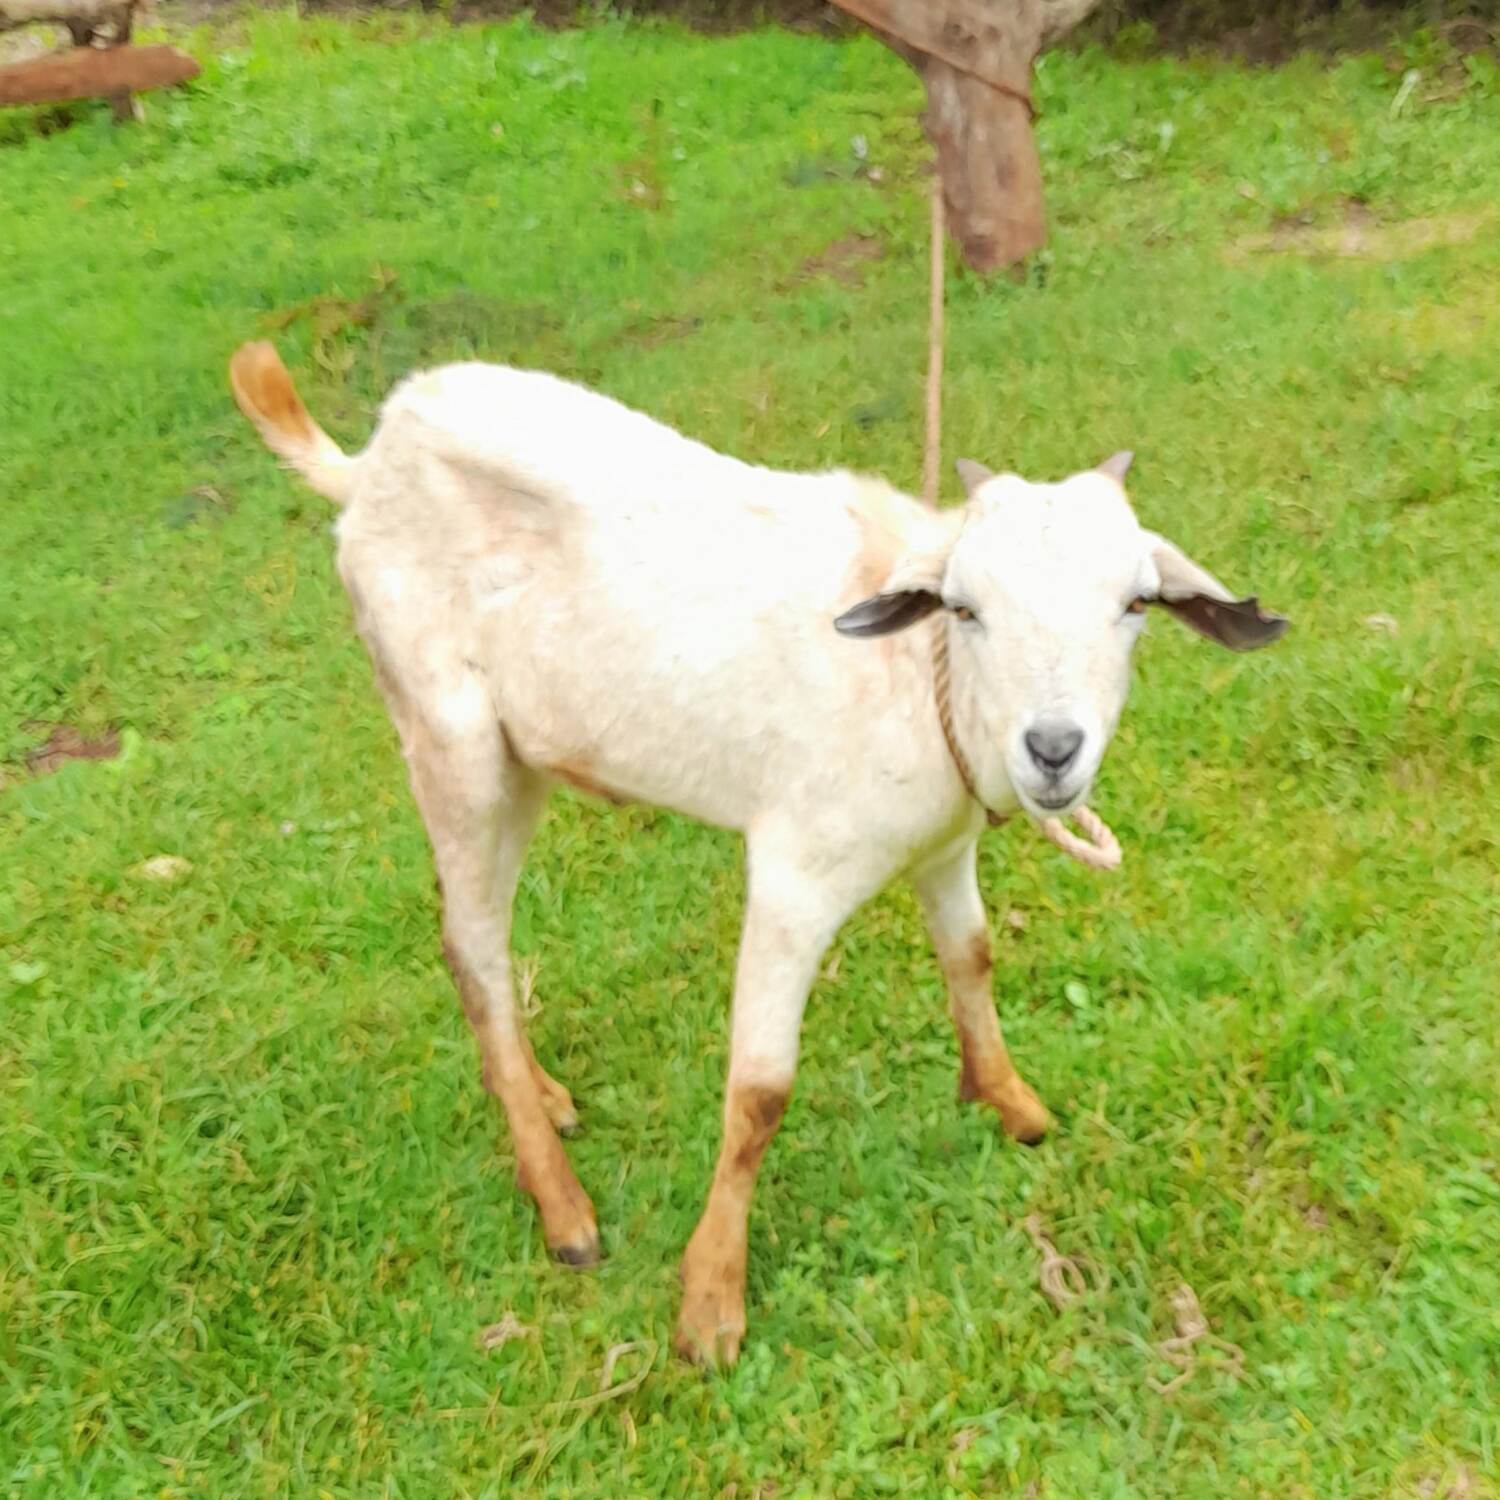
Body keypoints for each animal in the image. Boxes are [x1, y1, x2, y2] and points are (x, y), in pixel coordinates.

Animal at [229, 342, 1288, 1366]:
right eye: (964, 607)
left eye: (1137, 603)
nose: (1054, 749)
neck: (916, 678)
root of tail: (371, 461)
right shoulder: (795, 873)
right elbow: (761, 1090)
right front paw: (710, 1306)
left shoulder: (943, 850)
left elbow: (971, 959)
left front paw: (1012, 1105)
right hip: (448, 737)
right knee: (473, 947)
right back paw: (564, 1208)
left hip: (522, 756)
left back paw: (540, 1094)